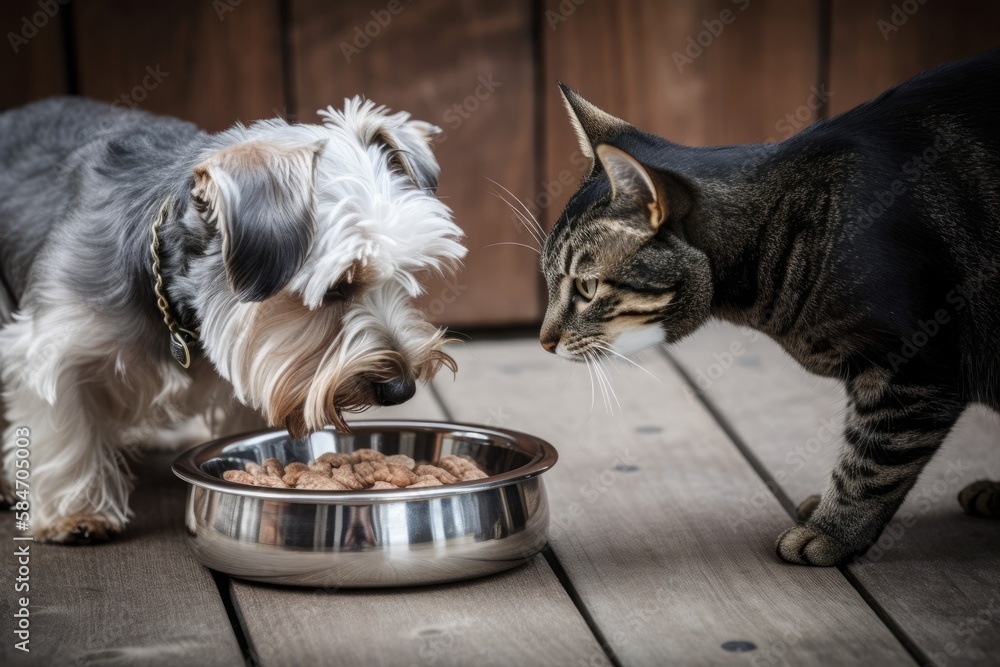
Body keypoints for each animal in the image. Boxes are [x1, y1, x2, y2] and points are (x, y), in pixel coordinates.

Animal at [0, 98, 466, 544]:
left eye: (405, 273)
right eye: (337, 287)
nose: (403, 389)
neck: (177, 308)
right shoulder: (56, 345)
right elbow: (66, 428)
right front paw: (77, 511)